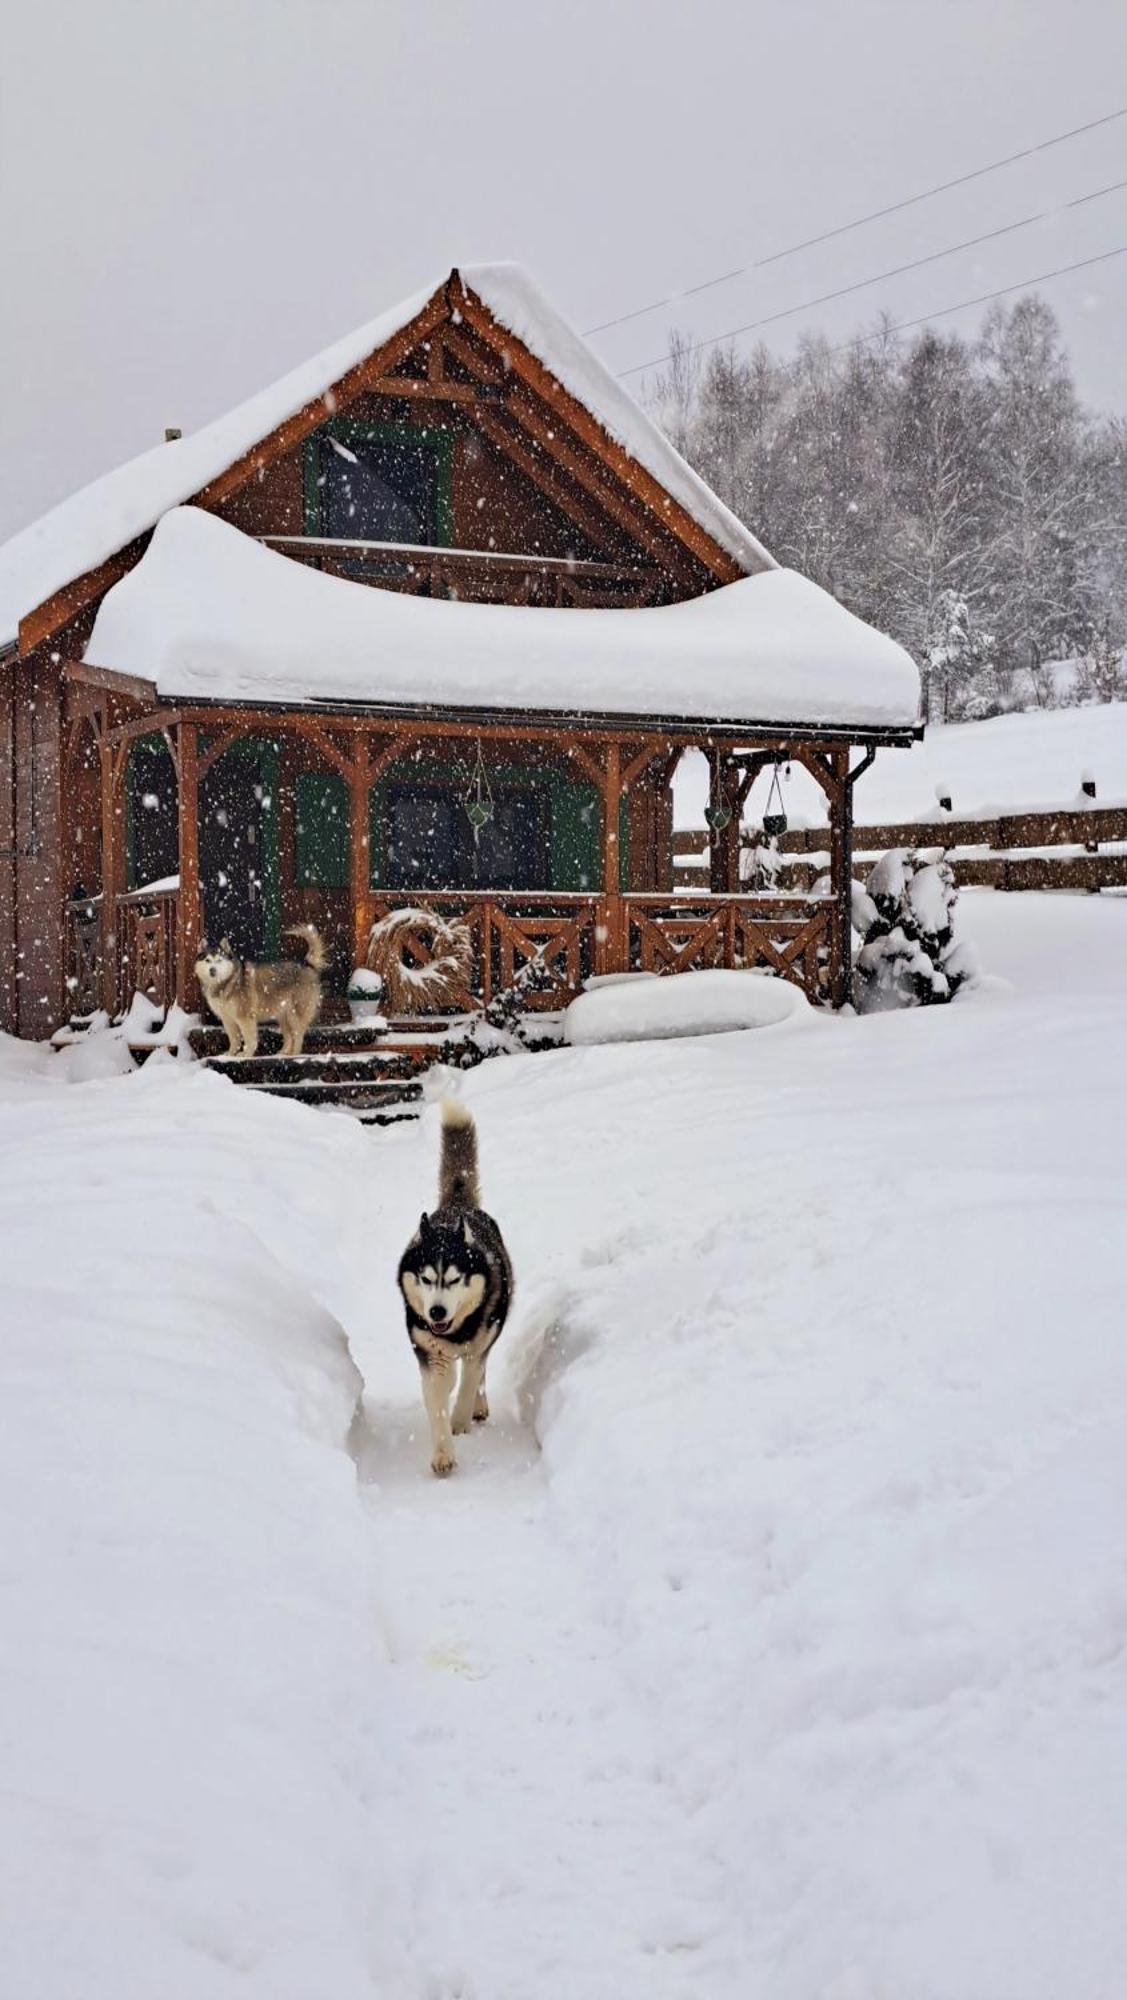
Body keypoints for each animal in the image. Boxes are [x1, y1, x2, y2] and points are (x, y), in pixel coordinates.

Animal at [192, 924, 325, 1064]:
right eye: (207, 960)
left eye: (219, 960)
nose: (213, 970)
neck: (226, 982)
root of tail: (306, 964)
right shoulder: (227, 1019)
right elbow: (234, 1040)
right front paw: (229, 1055)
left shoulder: (245, 1017)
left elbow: (249, 1039)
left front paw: (246, 1054)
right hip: (283, 1015)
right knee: (289, 1036)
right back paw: (282, 1053)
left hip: (295, 1014)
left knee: (298, 1035)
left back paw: (294, 1054)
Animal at [397, 1104, 511, 1480]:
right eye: (426, 1278)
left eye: (454, 1279)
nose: (436, 1312)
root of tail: (457, 1206)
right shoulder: (431, 1352)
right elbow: (437, 1400)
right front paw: (443, 1453)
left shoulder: (479, 1343)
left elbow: (470, 1379)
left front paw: (460, 1420)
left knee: (479, 1374)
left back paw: (477, 1406)